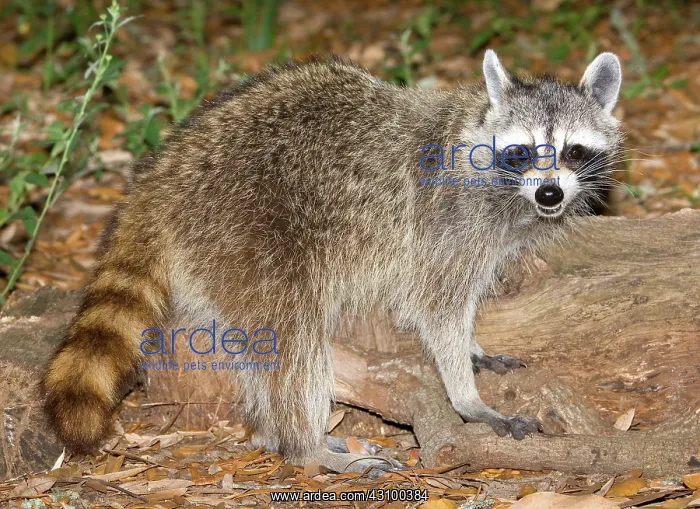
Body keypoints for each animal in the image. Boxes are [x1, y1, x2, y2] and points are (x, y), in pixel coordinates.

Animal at [42, 50, 622, 474]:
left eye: (572, 151)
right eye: (522, 152)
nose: (550, 195)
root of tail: (161, 175)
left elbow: (456, 304)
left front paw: (474, 349)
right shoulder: (444, 221)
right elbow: (436, 309)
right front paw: (467, 396)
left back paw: (270, 430)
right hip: (248, 225)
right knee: (292, 334)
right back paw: (303, 443)